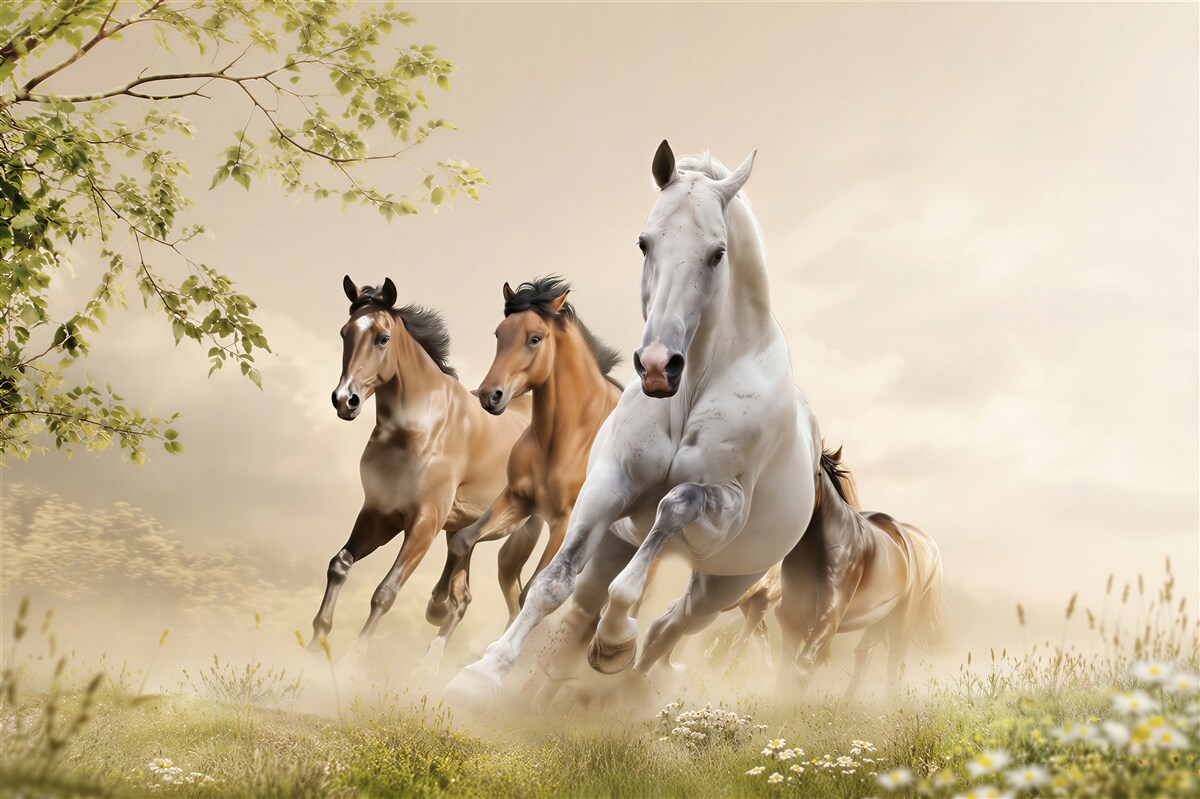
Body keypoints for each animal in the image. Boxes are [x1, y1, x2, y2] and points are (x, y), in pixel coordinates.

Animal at [310, 276, 542, 660]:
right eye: (345, 333)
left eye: (382, 338)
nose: (345, 400)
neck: (420, 429)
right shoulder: (380, 514)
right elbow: (339, 564)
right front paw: (317, 641)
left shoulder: (425, 522)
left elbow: (386, 591)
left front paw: (352, 659)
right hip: (465, 529)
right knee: (467, 597)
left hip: (524, 532)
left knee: (518, 598)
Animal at [422, 277, 625, 669]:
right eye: (499, 334)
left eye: (534, 338)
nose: (490, 396)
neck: (569, 436)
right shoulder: (517, 499)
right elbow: (463, 539)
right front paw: (436, 607)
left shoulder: (565, 522)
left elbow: (535, 590)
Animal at [445, 141, 829, 712]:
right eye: (644, 243)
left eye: (718, 253)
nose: (656, 366)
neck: (691, 390)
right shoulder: (607, 486)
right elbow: (551, 584)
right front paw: (481, 675)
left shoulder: (723, 509)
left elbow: (674, 507)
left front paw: (614, 639)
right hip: (615, 545)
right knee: (585, 613)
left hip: (725, 583)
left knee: (669, 626)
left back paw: (618, 676)